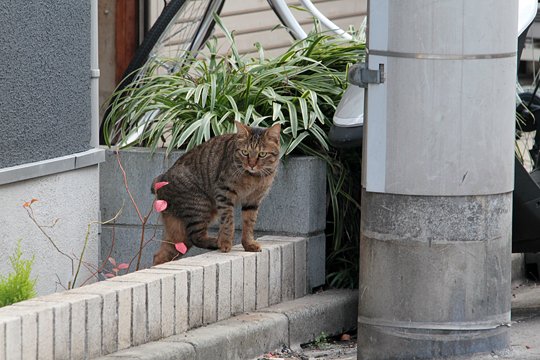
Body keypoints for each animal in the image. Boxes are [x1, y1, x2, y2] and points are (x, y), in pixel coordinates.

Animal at [151, 121, 280, 264]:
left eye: (262, 154)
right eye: (245, 152)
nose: (251, 165)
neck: (253, 176)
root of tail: (160, 179)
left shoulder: (253, 200)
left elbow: (249, 223)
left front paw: (249, 244)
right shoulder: (224, 193)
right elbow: (228, 221)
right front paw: (225, 243)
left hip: (179, 234)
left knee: (160, 255)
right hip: (199, 206)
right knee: (196, 237)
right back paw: (216, 241)